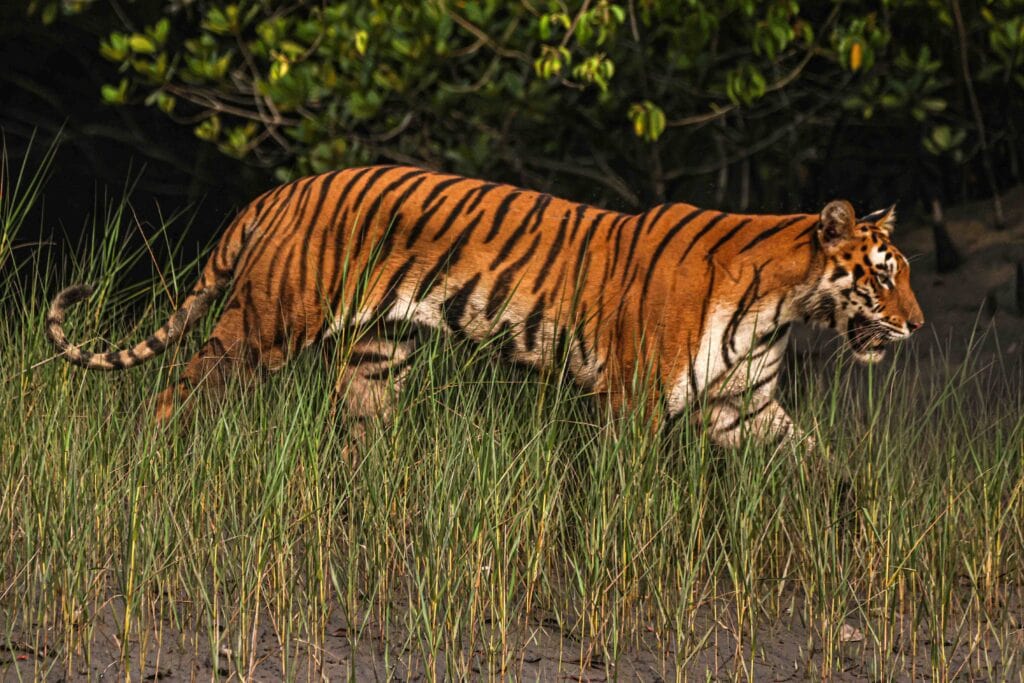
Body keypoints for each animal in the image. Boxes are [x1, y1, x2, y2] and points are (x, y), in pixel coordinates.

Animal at [45, 165, 924, 448]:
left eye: (905, 275)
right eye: (882, 276)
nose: (917, 324)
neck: (786, 305)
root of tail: (285, 188)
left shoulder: (746, 407)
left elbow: (819, 466)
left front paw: (850, 524)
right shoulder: (634, 399)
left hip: (378, 359)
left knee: (359, 435)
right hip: (262, 326)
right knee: (175, 392)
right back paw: (149, 457)